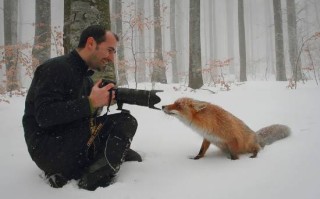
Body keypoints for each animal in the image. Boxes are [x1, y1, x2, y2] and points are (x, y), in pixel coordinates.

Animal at [162, 98, 290, 160]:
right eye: (174, 103)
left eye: (178, 105)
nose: (163, 106)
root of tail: (256, 135)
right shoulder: (207, 137)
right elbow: (201, 151)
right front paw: (196, 159)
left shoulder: (232, 139)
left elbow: (234, 156)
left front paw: (232, 163)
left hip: (250, 145)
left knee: (258, 149)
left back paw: (254, 155)